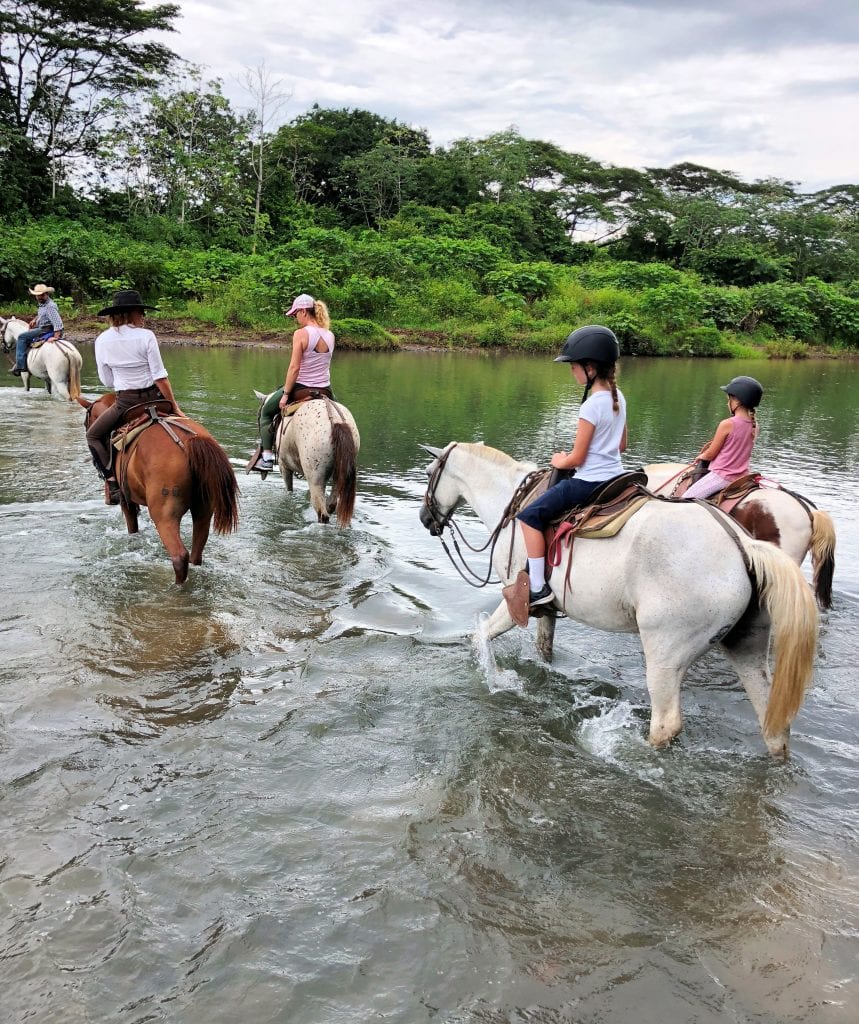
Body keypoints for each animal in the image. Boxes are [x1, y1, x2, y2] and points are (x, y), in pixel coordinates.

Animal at [79, 393, 238, 585]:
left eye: (86, 423)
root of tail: (190, 441)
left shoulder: (126, 501)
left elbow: (132, 528)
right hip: (204, 511)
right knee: (196, 551)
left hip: (164, 516)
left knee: (179, 556)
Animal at [251, 387, 360, 524]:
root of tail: (335, 420)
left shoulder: (283, 465)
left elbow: (289, 489)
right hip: (338, 474)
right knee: (330, 504)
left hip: (315, 477)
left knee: (322, 512)